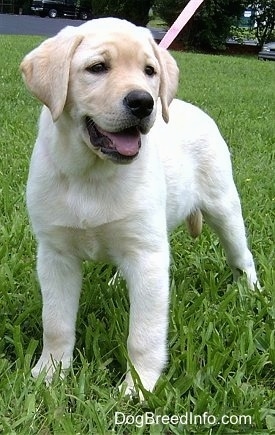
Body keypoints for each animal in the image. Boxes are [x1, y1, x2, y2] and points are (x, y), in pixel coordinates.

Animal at [20, 17, 260, 396]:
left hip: (223, 207)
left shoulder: (148, 258)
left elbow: (144, 334)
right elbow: (56, 322)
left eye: (150, 71)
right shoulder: (55, 256)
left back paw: (250, 294)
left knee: (242, 256)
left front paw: (139, 386)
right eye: (97, 68)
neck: (92, 173)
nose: (144, 102)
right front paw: (51, 373)